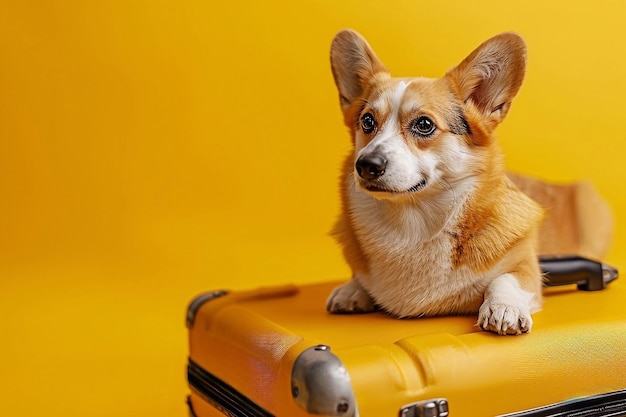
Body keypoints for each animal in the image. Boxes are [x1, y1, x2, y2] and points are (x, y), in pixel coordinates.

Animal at [324, 30, 544, 334]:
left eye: (424, 124)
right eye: (367, 121)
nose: (366, 165)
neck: (412, 222)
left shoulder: (526, 266)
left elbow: (506, 279)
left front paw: (503, 308)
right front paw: (352, 289)